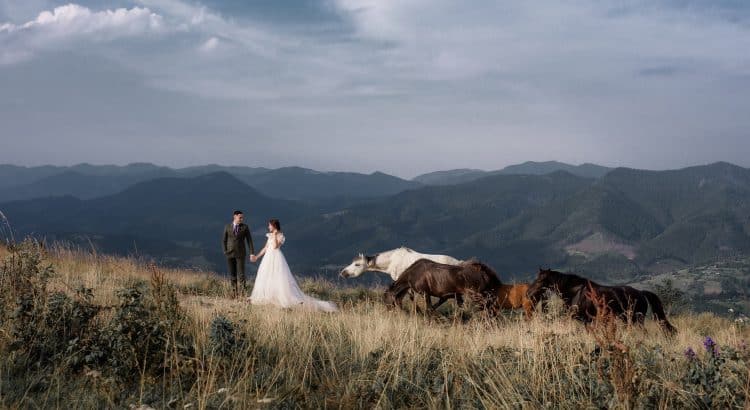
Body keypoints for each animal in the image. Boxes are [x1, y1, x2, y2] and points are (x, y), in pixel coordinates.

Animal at [524, 270, 680, 334]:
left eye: (540, 280)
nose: (528, 293)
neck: (575, 292)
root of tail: (641, 293)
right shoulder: (586, 320)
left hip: (636, 319)